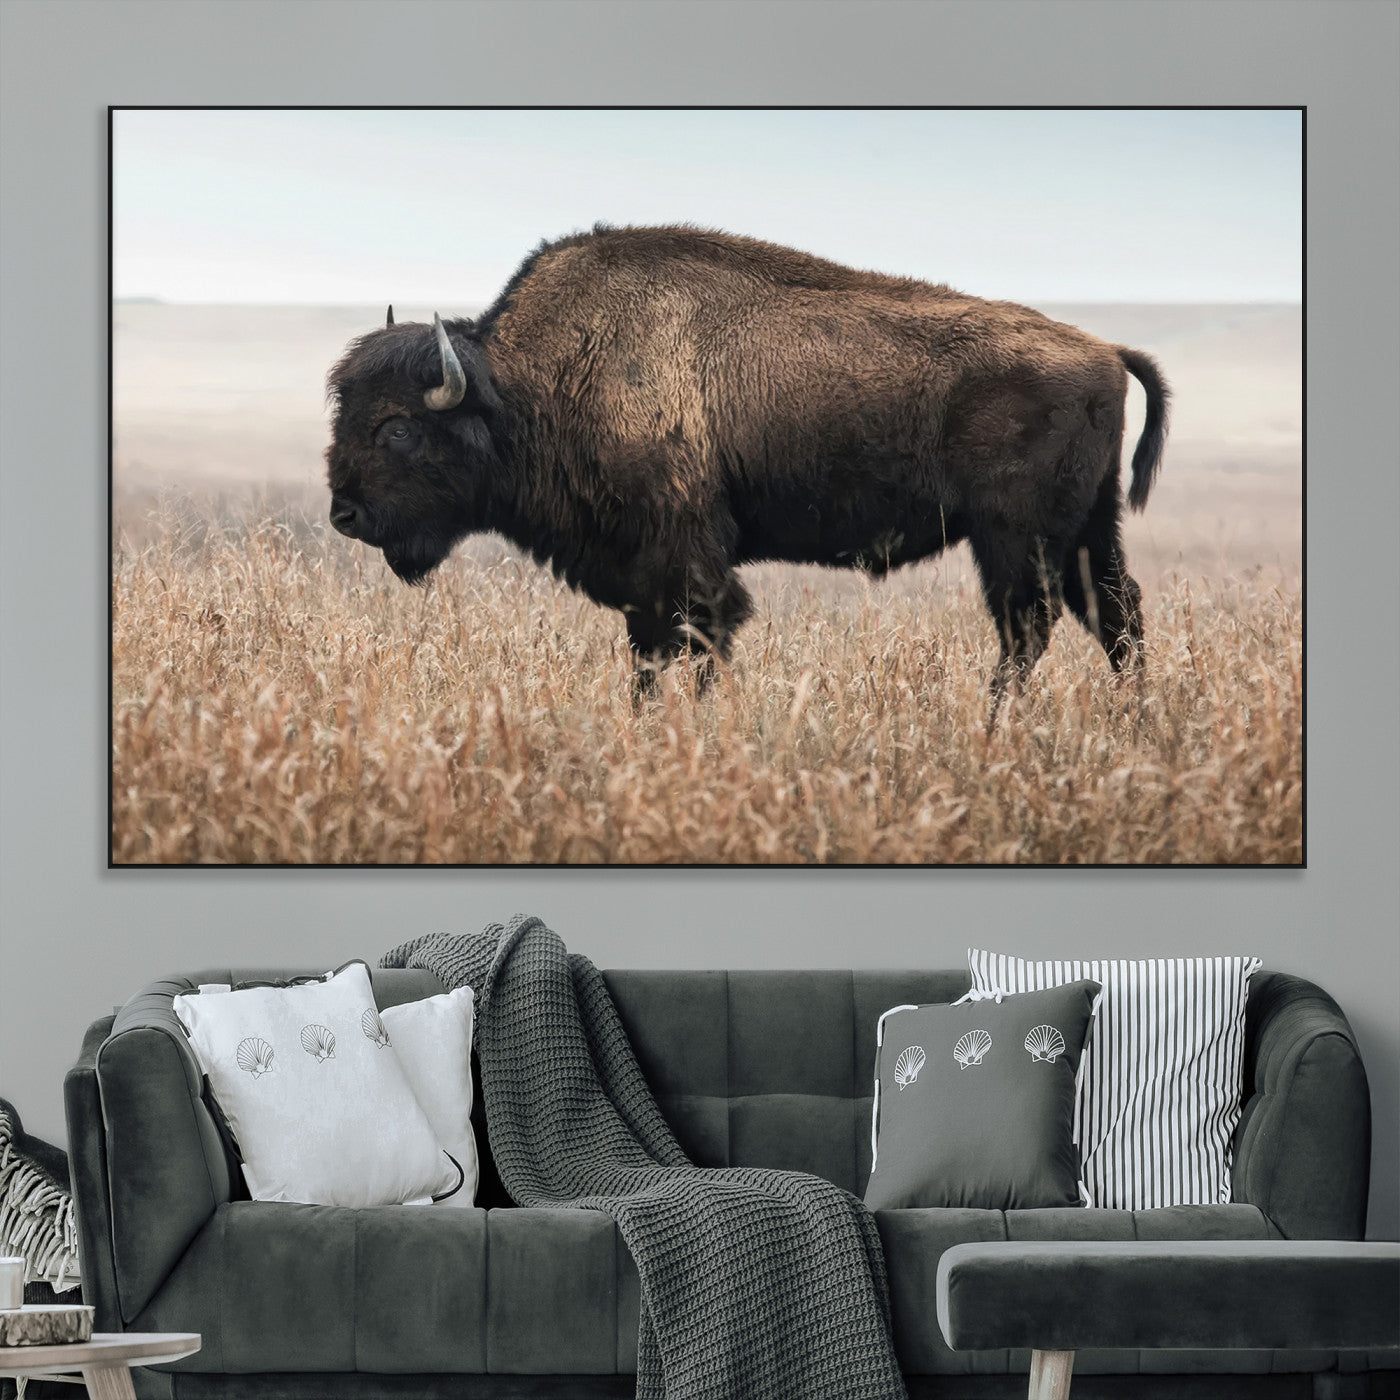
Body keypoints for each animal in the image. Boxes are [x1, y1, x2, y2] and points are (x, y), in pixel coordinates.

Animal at [326, 224, 1167, 702]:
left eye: (398, 429)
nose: (344, 514)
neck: (528, 384)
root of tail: (1104, 350)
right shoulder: (642, 578)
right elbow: (650, 656)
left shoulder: (684, 563)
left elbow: (696, 642)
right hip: (1087, 530)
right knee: (1115, 616)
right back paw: (1132, 726)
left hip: (1015, 538)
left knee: (1029, 628)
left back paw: (995, 727)